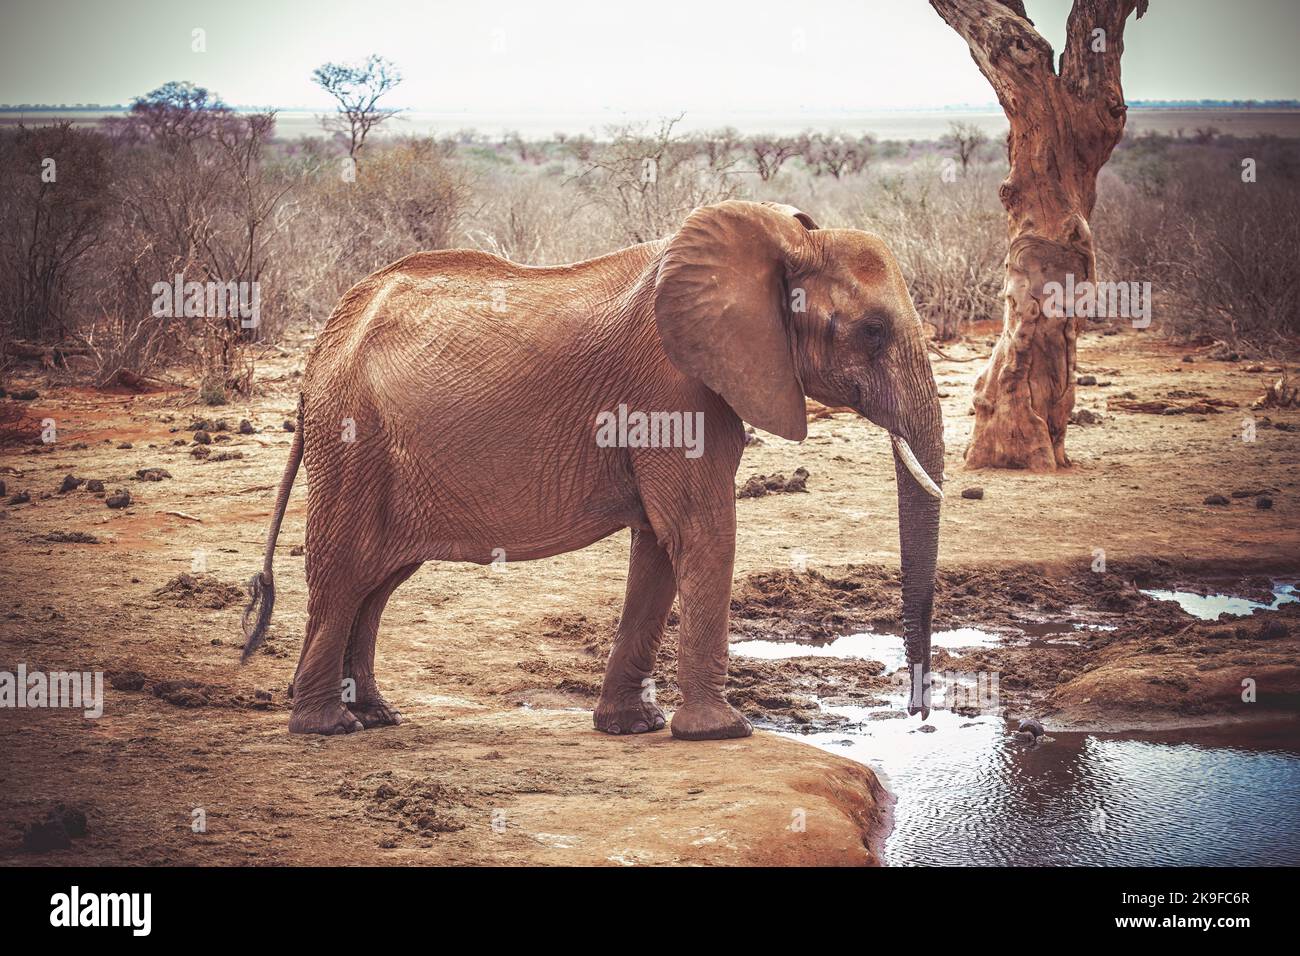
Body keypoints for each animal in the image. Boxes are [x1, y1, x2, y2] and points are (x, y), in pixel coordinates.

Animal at [239, 200, 941, 738]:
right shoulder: (673, 386)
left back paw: (375, 717)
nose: (920, 719)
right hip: (352, 437)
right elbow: (700, 531)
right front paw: (722, 732)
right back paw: (327, 727)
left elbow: (660, 543)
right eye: (874, 331)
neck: (785, 242)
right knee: (346, 571)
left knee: (378, 580)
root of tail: (321, 348)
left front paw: (634, 728)